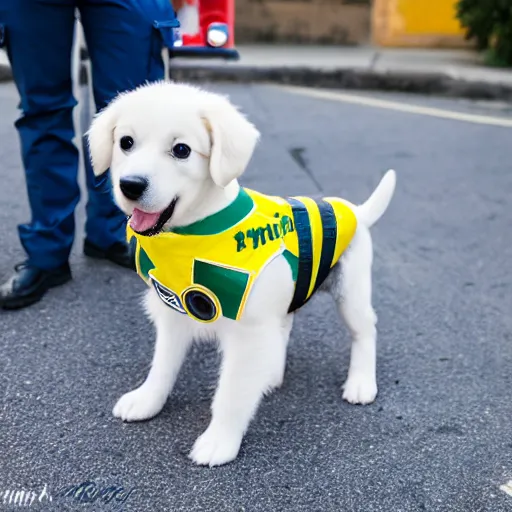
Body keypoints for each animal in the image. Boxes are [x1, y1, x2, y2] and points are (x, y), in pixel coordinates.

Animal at [87, 81, 396, 468]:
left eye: (181, 150)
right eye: (125, 142)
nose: (130, 185)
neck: (195, 235)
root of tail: (353, 209)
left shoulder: (245, 332)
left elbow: (231, 393)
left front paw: (220, 441)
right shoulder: (174, 313)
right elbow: (162, 367)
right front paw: (147, 400)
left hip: (350, 291)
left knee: (364, 331)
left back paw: (361, 382)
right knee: (285, 326)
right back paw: (271, 375)